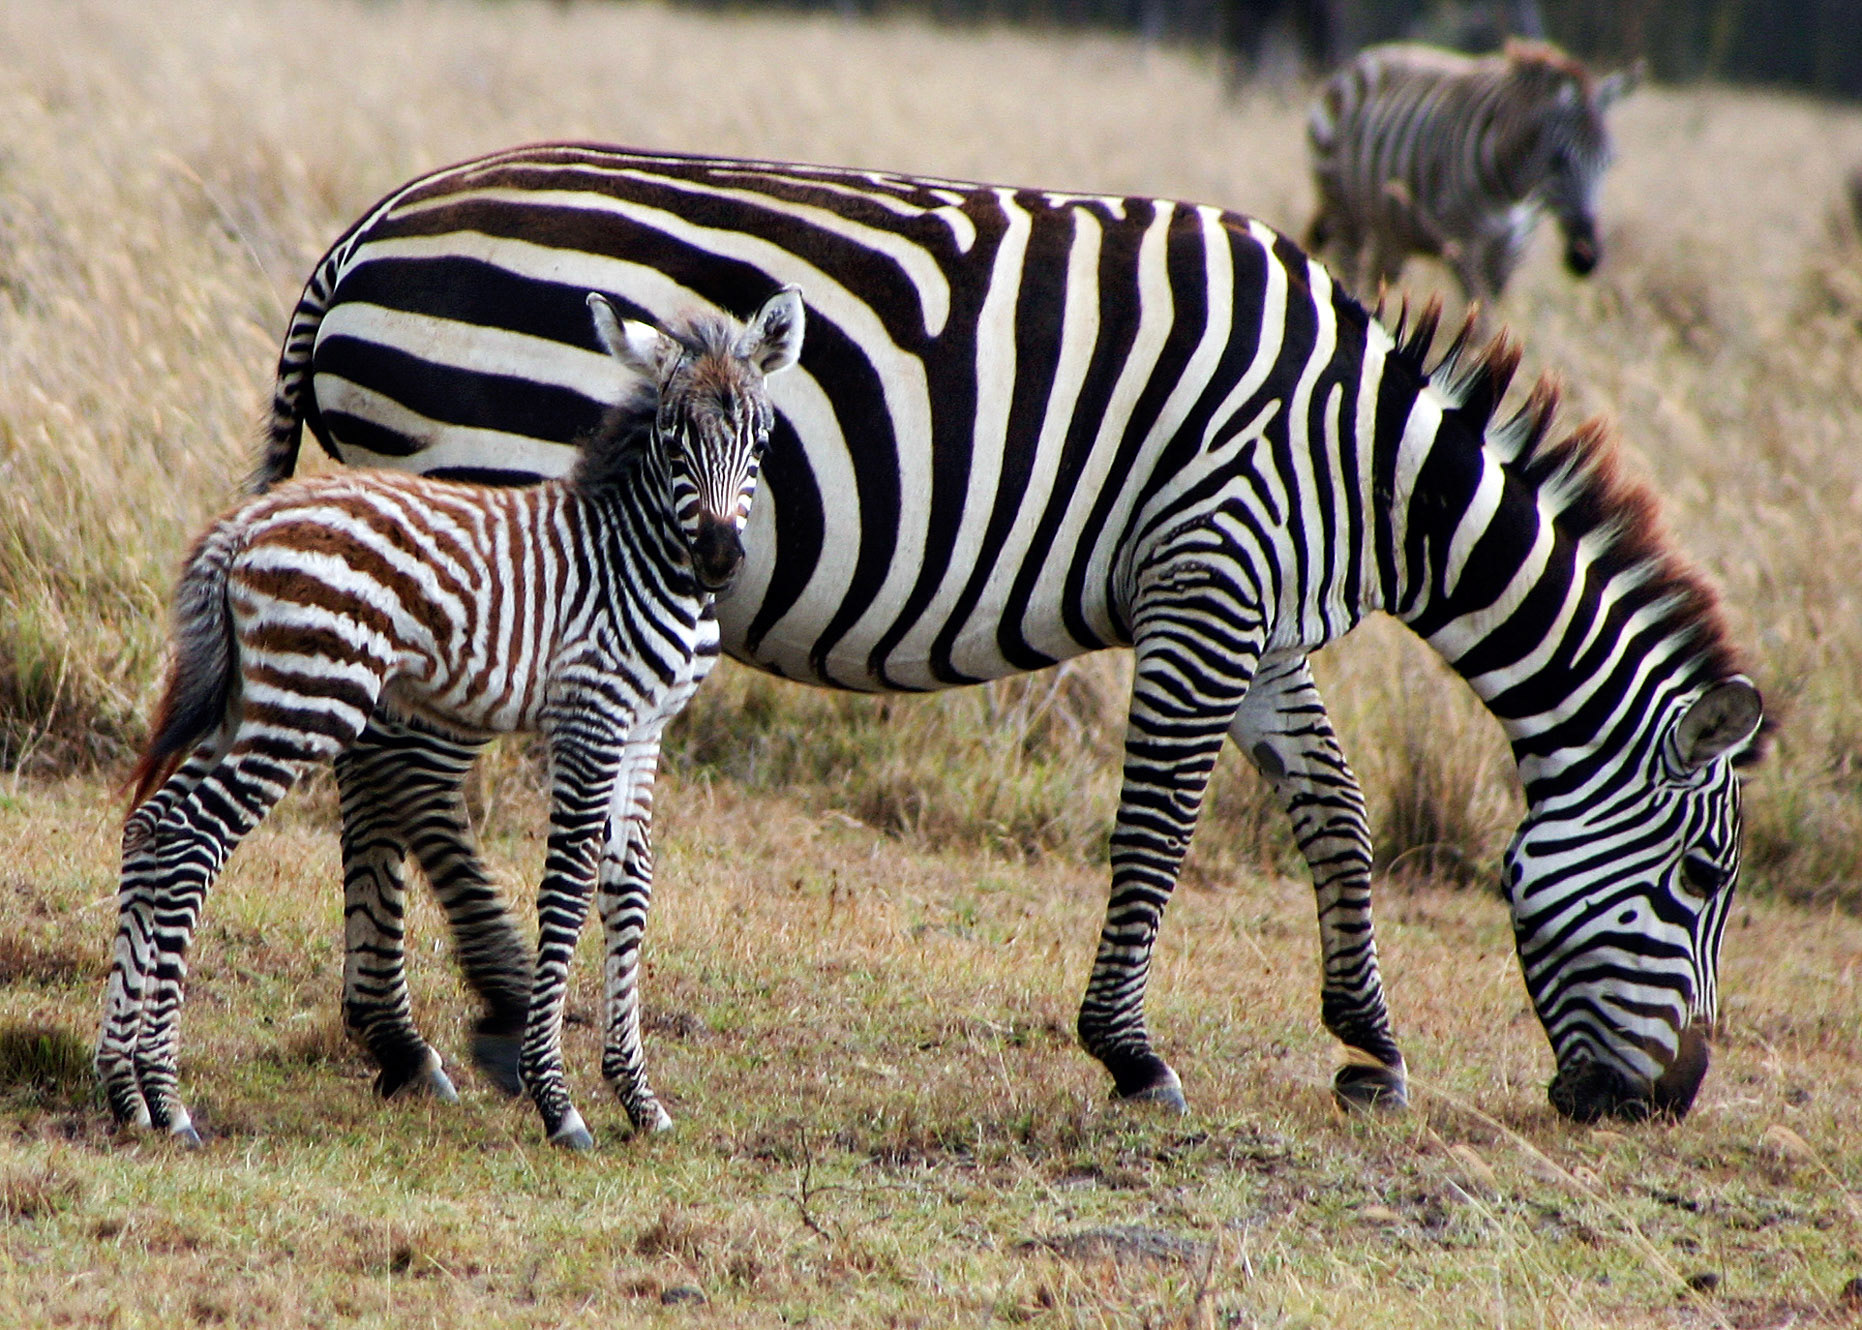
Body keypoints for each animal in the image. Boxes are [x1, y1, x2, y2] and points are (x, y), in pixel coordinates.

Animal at [98, 285, 806, 1148]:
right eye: (675, 440)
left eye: (761, 440)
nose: (720, 561)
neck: (633, 553)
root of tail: (244, 526)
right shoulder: (592, 717)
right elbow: (567, 886)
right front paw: (556, 1101)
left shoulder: (644, 730)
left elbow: (628, 887)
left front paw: (638, 1097)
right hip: (309, 700)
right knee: (192, 837)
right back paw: (167, 1100)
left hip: (250, 701)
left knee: (152, 825)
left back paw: (122, 1088)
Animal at [255, 144, 1764, 1128]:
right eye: (1698, 878)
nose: (1664, 1104)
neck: (1368, 466)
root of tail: (365, 232)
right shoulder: (1205, 578)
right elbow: (1157, 823)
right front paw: (1129, 1052)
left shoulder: (1260, 611)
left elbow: (1334, 810)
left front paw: (1368, 1046)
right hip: (486, 494)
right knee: (406, 771)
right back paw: (482, 1014)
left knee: (375, 764)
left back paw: (400, 1039)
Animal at [1305, 40, 1640, 307]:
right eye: (1558, 160)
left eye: (1609, 162)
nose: (1586, 259)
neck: (1513, 189)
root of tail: (1369, 55)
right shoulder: (1461, 241)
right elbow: (1478, 315)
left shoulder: (1513, 249)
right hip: (1343, 210)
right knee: (1350, 272)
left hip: (1392, 229)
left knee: (1377, 279)